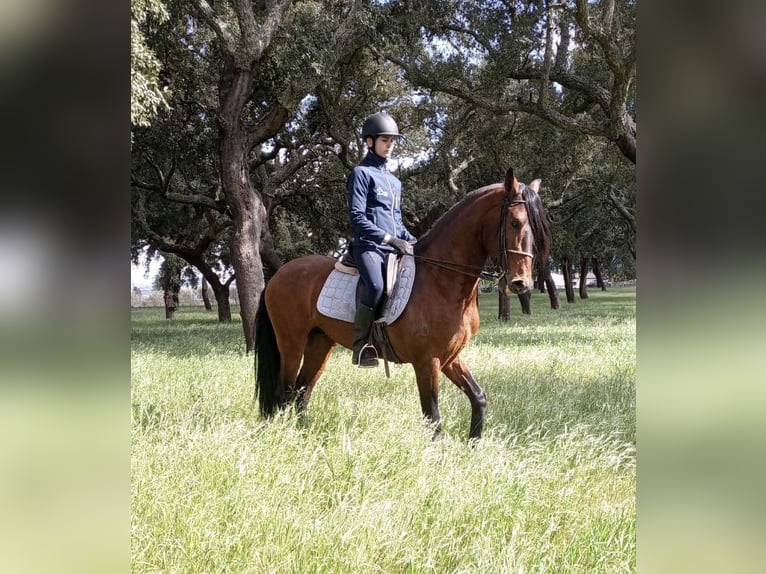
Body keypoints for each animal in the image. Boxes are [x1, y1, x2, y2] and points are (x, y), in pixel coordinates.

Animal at [256, 166, 552, 440]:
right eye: (515, 223)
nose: (521, 283)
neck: (441, 278)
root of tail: (279, 274)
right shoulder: (427, 361)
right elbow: (433, 416)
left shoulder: (449, 357)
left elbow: (478, 397)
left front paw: (473, 444)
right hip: (292, 343)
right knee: (285, 392)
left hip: (320, 343)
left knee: (301, 392)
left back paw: (305, 435)